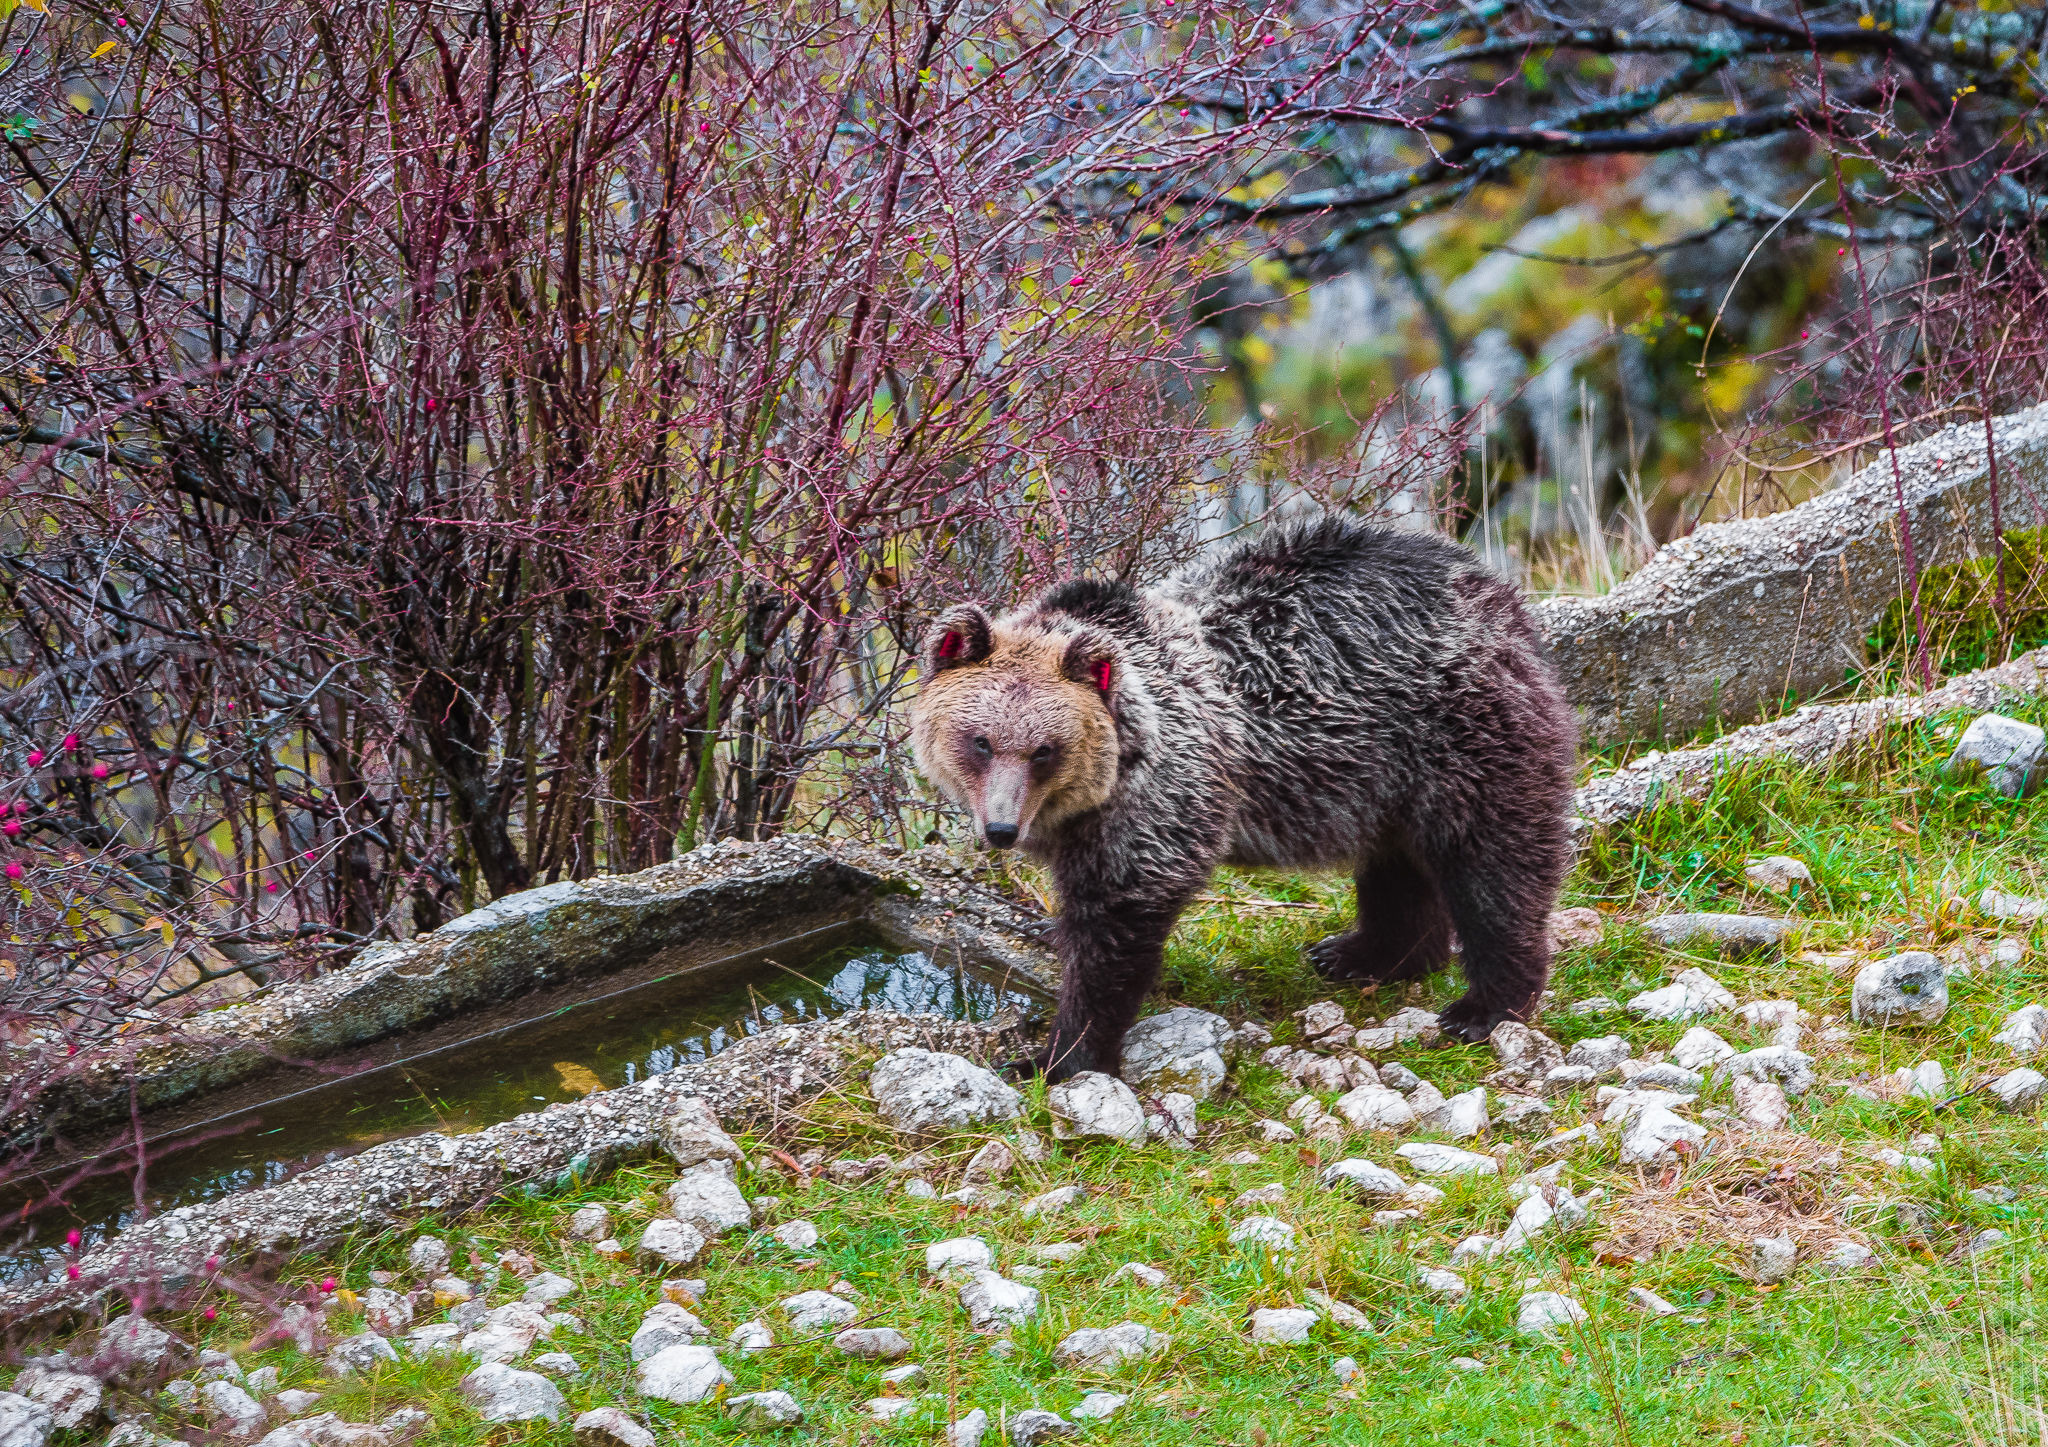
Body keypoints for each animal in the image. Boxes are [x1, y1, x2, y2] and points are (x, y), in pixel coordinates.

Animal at [910, 514, 1577, 1082]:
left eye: (1045, 750)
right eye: (979, 741)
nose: (1001, 829)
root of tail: (1497, 595)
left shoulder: (1161, 800)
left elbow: (1113, 925)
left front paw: (1056, 1055)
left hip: (1462, 735)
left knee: (1493, 863)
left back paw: (1485, 1005)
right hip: (1382, 774)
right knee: (1398, 867)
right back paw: (1362, 953)